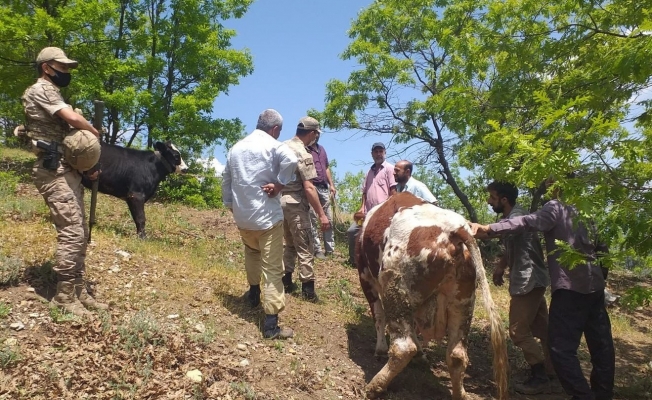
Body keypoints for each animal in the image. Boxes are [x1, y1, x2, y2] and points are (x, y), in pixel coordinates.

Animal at [356, 192, 510, 398]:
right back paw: (460, 394)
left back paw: (374, 387)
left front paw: (380, 350)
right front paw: (421, 355)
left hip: (395, 289)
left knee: (404, 347)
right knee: (457, 355)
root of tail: (456, 228)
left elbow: (378, 316)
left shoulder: (365, 277)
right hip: (463, 302)